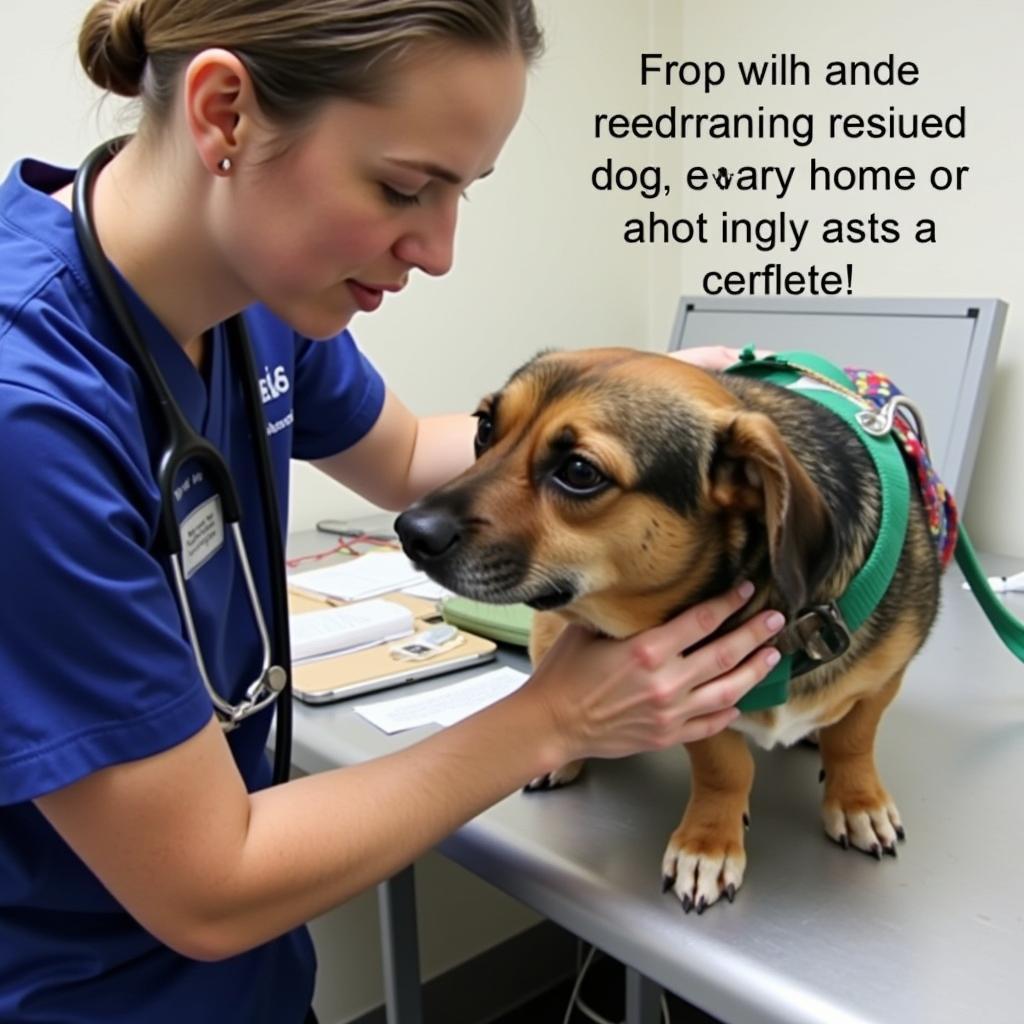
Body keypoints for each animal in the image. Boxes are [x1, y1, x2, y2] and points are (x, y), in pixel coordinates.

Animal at [395, 350, 937, 913]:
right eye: (484, 429)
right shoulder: (687, 697)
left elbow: (853, 739)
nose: (410, 531)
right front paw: (710, 843)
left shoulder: (885, 678)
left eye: (580, 471)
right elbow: (725, 768)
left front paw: (857, 801)